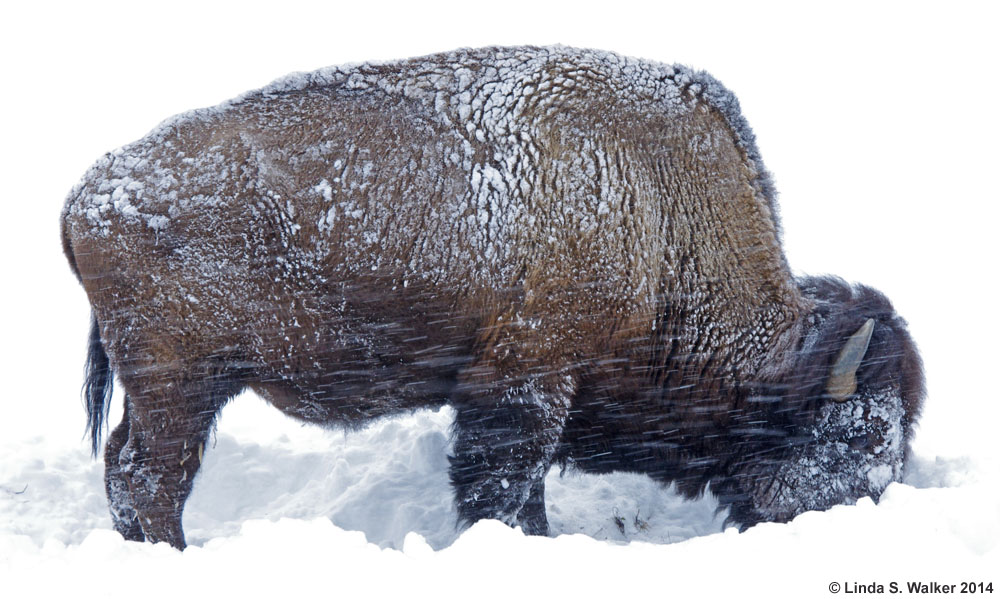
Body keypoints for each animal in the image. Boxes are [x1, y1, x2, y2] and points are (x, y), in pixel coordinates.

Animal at [60, 45, 920, 552]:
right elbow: (505, 480)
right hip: (181, 386)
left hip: (168, 389)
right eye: (858, 435)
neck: (660, 205)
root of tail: (84, 198)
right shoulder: (526, 378)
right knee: (148, 475)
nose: (864, 509)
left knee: (129, 469)